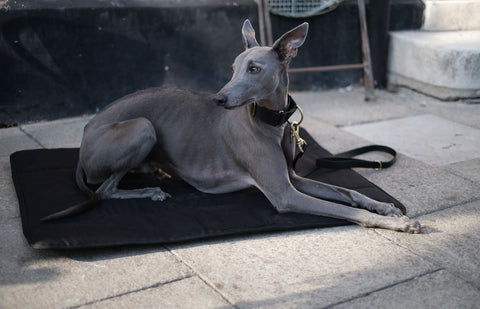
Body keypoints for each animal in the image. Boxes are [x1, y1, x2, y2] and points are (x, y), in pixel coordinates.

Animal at [42, 20, 424, 232]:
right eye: (232, 68)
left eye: (254, 69)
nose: (218, 99)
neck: (269, 122)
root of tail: (83, 139)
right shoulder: (284, 194)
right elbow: (345, 209)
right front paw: (397, 223)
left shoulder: (293, 179)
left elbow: (349, 193)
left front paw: (385, 207)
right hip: (141, 126)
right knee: (105, 190)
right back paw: (150, 191)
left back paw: (155, 174)